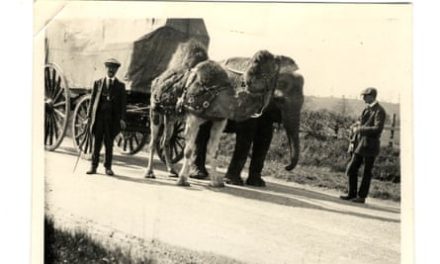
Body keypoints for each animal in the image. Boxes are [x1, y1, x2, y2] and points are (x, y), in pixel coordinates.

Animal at [191, 56, 304, 187]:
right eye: (279, 100)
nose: (286, 167)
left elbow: (265, 138)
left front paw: (258, 184)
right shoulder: (247, 100)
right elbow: (246, 135)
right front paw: (234, 182)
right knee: (201, 133)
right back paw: (199, 175)